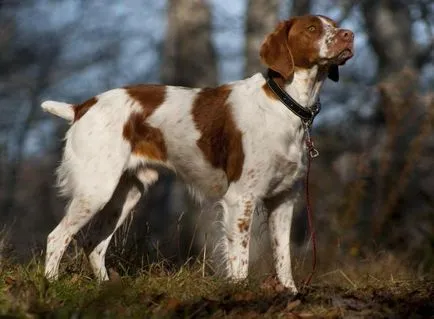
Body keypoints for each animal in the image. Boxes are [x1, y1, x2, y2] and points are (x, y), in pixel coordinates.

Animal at [41, 15, 352, 296]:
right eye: (312, 28)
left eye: (334, 24)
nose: (349, 35)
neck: (286, 104)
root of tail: (82, 107)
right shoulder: (241, 197)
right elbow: (240, 258)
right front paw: (240, 293)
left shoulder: (284, 198)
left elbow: (282, 256)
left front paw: (290, 293)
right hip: (96, 190)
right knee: (57, 236)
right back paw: (51, 285)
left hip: (126, 193)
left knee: (94, 243)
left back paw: (106, 289)